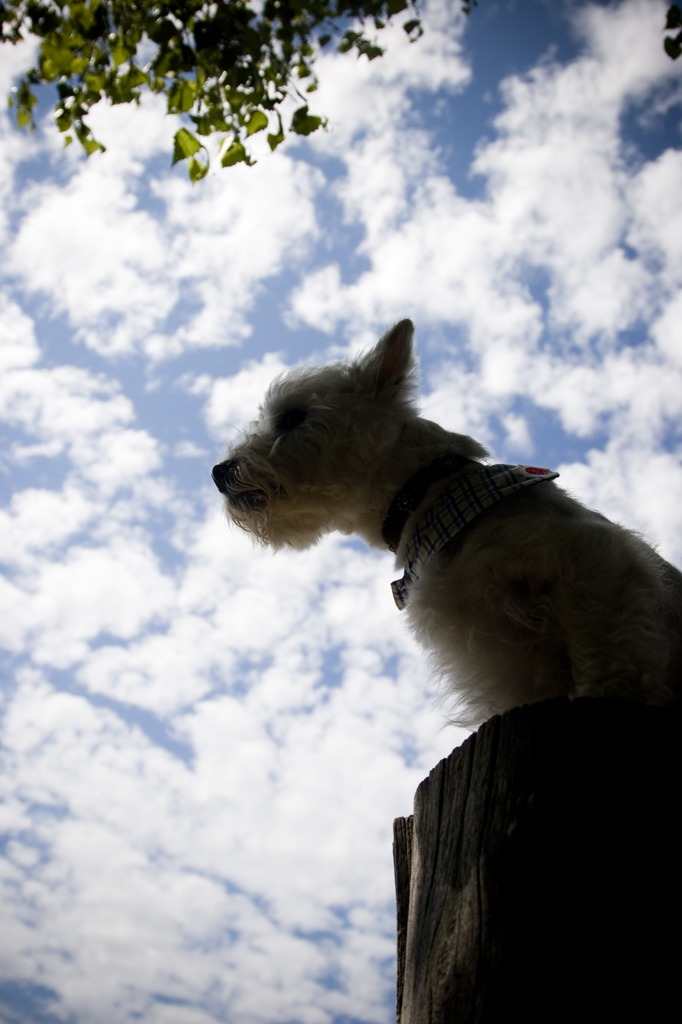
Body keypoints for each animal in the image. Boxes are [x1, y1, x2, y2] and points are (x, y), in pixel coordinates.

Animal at [210, 319, 679, 729]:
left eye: (292, 417)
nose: (219, 471)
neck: (429, 495)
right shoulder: (503, 661)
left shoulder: (595, 562)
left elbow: (610, 658)